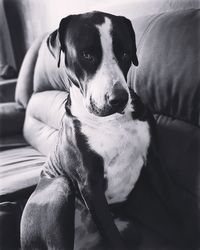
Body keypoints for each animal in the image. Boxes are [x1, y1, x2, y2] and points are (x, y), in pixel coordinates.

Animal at [19, 11, 181, 250]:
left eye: (124, 53)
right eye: (86, 55)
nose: (118, 98)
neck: (112, 121)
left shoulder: (154, 160)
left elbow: (174, 206)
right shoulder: (90, 184)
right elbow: (113, 236)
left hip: (130, 229)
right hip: (58, 187)